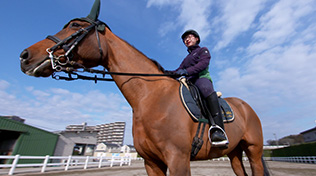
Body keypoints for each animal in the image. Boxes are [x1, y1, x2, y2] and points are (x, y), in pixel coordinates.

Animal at [19, 0, 266, 175]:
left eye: (75, 26)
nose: (25, 56)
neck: (151, 98)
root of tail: (246, 107)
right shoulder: (152, 163)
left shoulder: (178, 160)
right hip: (235, 154)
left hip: (253, 151)